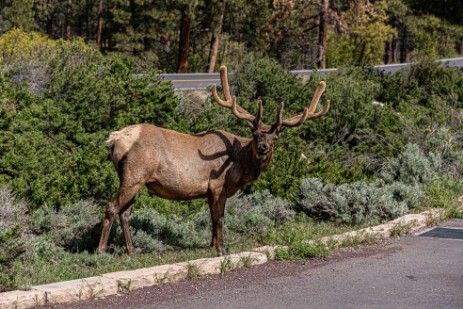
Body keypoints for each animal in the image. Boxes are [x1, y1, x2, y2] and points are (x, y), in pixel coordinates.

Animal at [98, 65, 330, 255]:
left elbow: (212, 217)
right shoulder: (218, 185)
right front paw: (221, 249)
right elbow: (220, 219)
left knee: (125, 211)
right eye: (255, 134)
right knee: (112, 206)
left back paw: (132, 250)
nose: (263, 148)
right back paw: (101, 251)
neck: (241, 164)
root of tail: (113, 139)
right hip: (134, 174)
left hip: (135, 178)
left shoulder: (210, 191)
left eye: (274, 138)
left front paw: (211, 245)